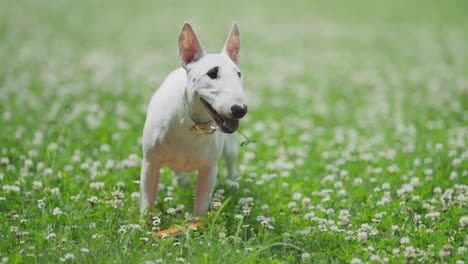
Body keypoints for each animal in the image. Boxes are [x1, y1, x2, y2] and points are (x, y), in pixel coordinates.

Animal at [140, 22, 247, 217]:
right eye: (212, 73)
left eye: (238, 74)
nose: (240, 110)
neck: (193, 125)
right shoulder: (150, 163)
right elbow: (147, 202)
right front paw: (144, 223)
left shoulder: (209, 168)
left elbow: (201, 206)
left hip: (231, 148)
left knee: (231, 162)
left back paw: (233, 184)